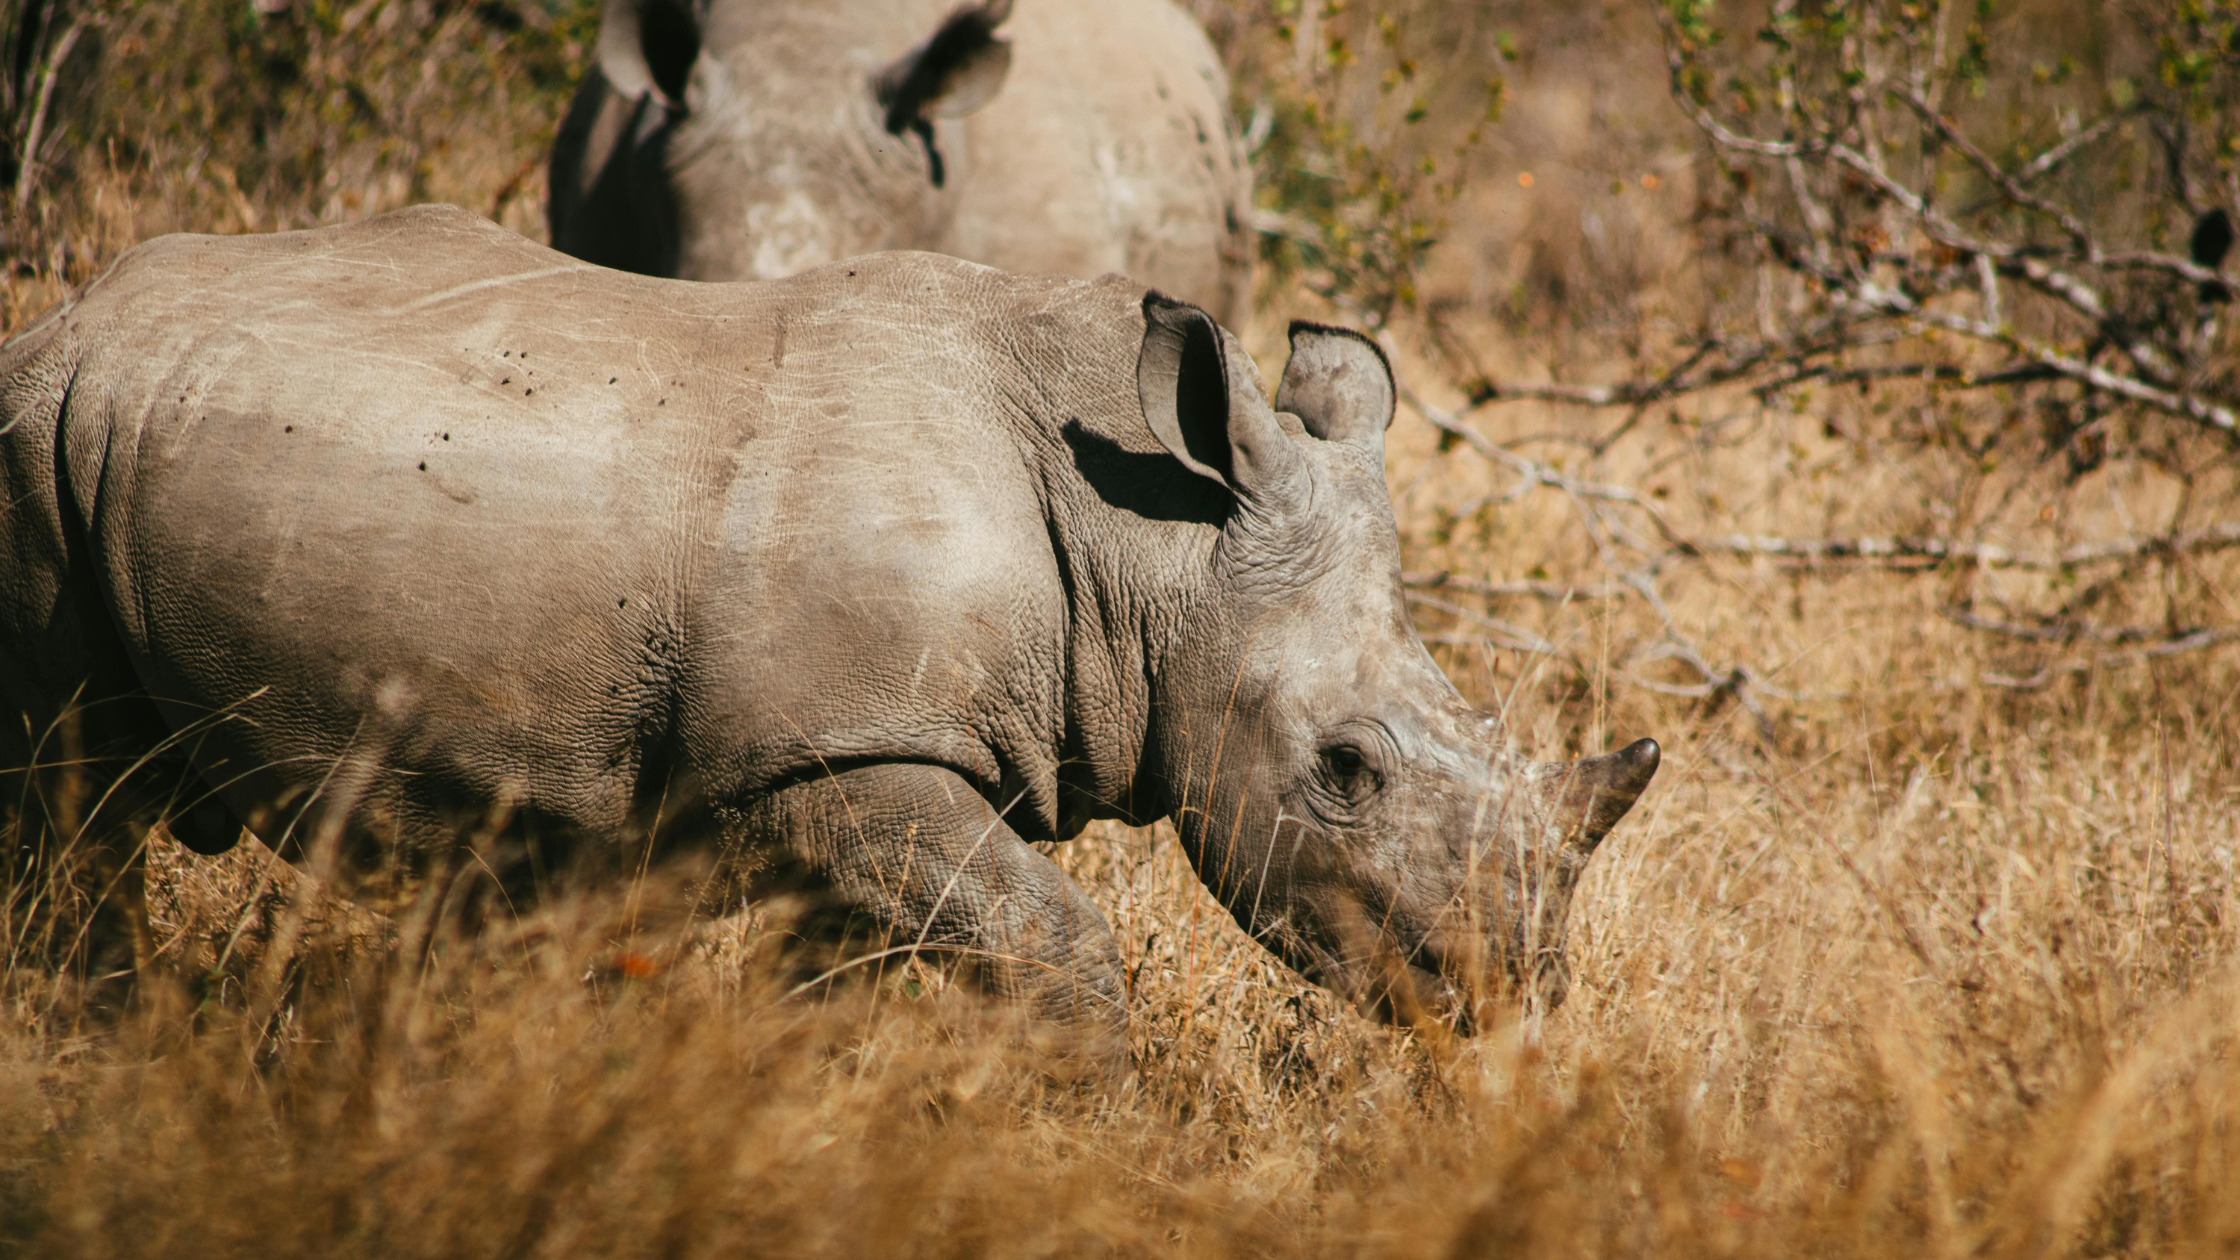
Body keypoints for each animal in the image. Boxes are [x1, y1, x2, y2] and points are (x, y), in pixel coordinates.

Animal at [0, 206, 1655, 1051]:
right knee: (65, 792)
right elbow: (1058, 948)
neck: (1156, 548)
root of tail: (69, 316)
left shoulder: (837, 771)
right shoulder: (846, 748)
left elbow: (858, 973)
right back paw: (95, 1045)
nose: (1510, 1005)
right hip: (40, 445)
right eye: (1348, 773)